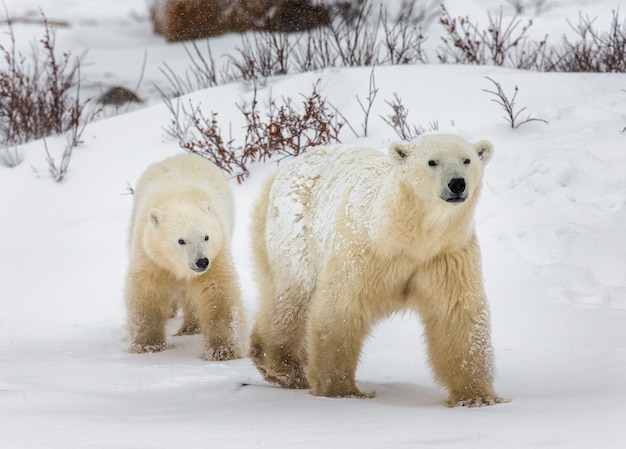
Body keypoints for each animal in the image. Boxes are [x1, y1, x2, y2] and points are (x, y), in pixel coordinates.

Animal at [124, 152, 244, 358]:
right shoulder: (150, 254)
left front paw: (222, 350)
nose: (202, 261)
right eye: (181, 240)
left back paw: (190, 327)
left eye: (206, 237)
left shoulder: (217, 252)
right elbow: (147, 291)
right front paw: (148, 345)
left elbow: (216, 290)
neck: (179, 199)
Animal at [249, 133, 508, 406]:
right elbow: (342, 308)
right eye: (432, 161)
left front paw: (477, 397)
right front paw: (341, 390)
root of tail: (281, 172)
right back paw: (285, 367)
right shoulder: (366, 251)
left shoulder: (446, 255)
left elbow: (456, 312)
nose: (457, 184)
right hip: (295, 236)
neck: (408, 235)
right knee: (292, 297)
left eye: (466, 159)